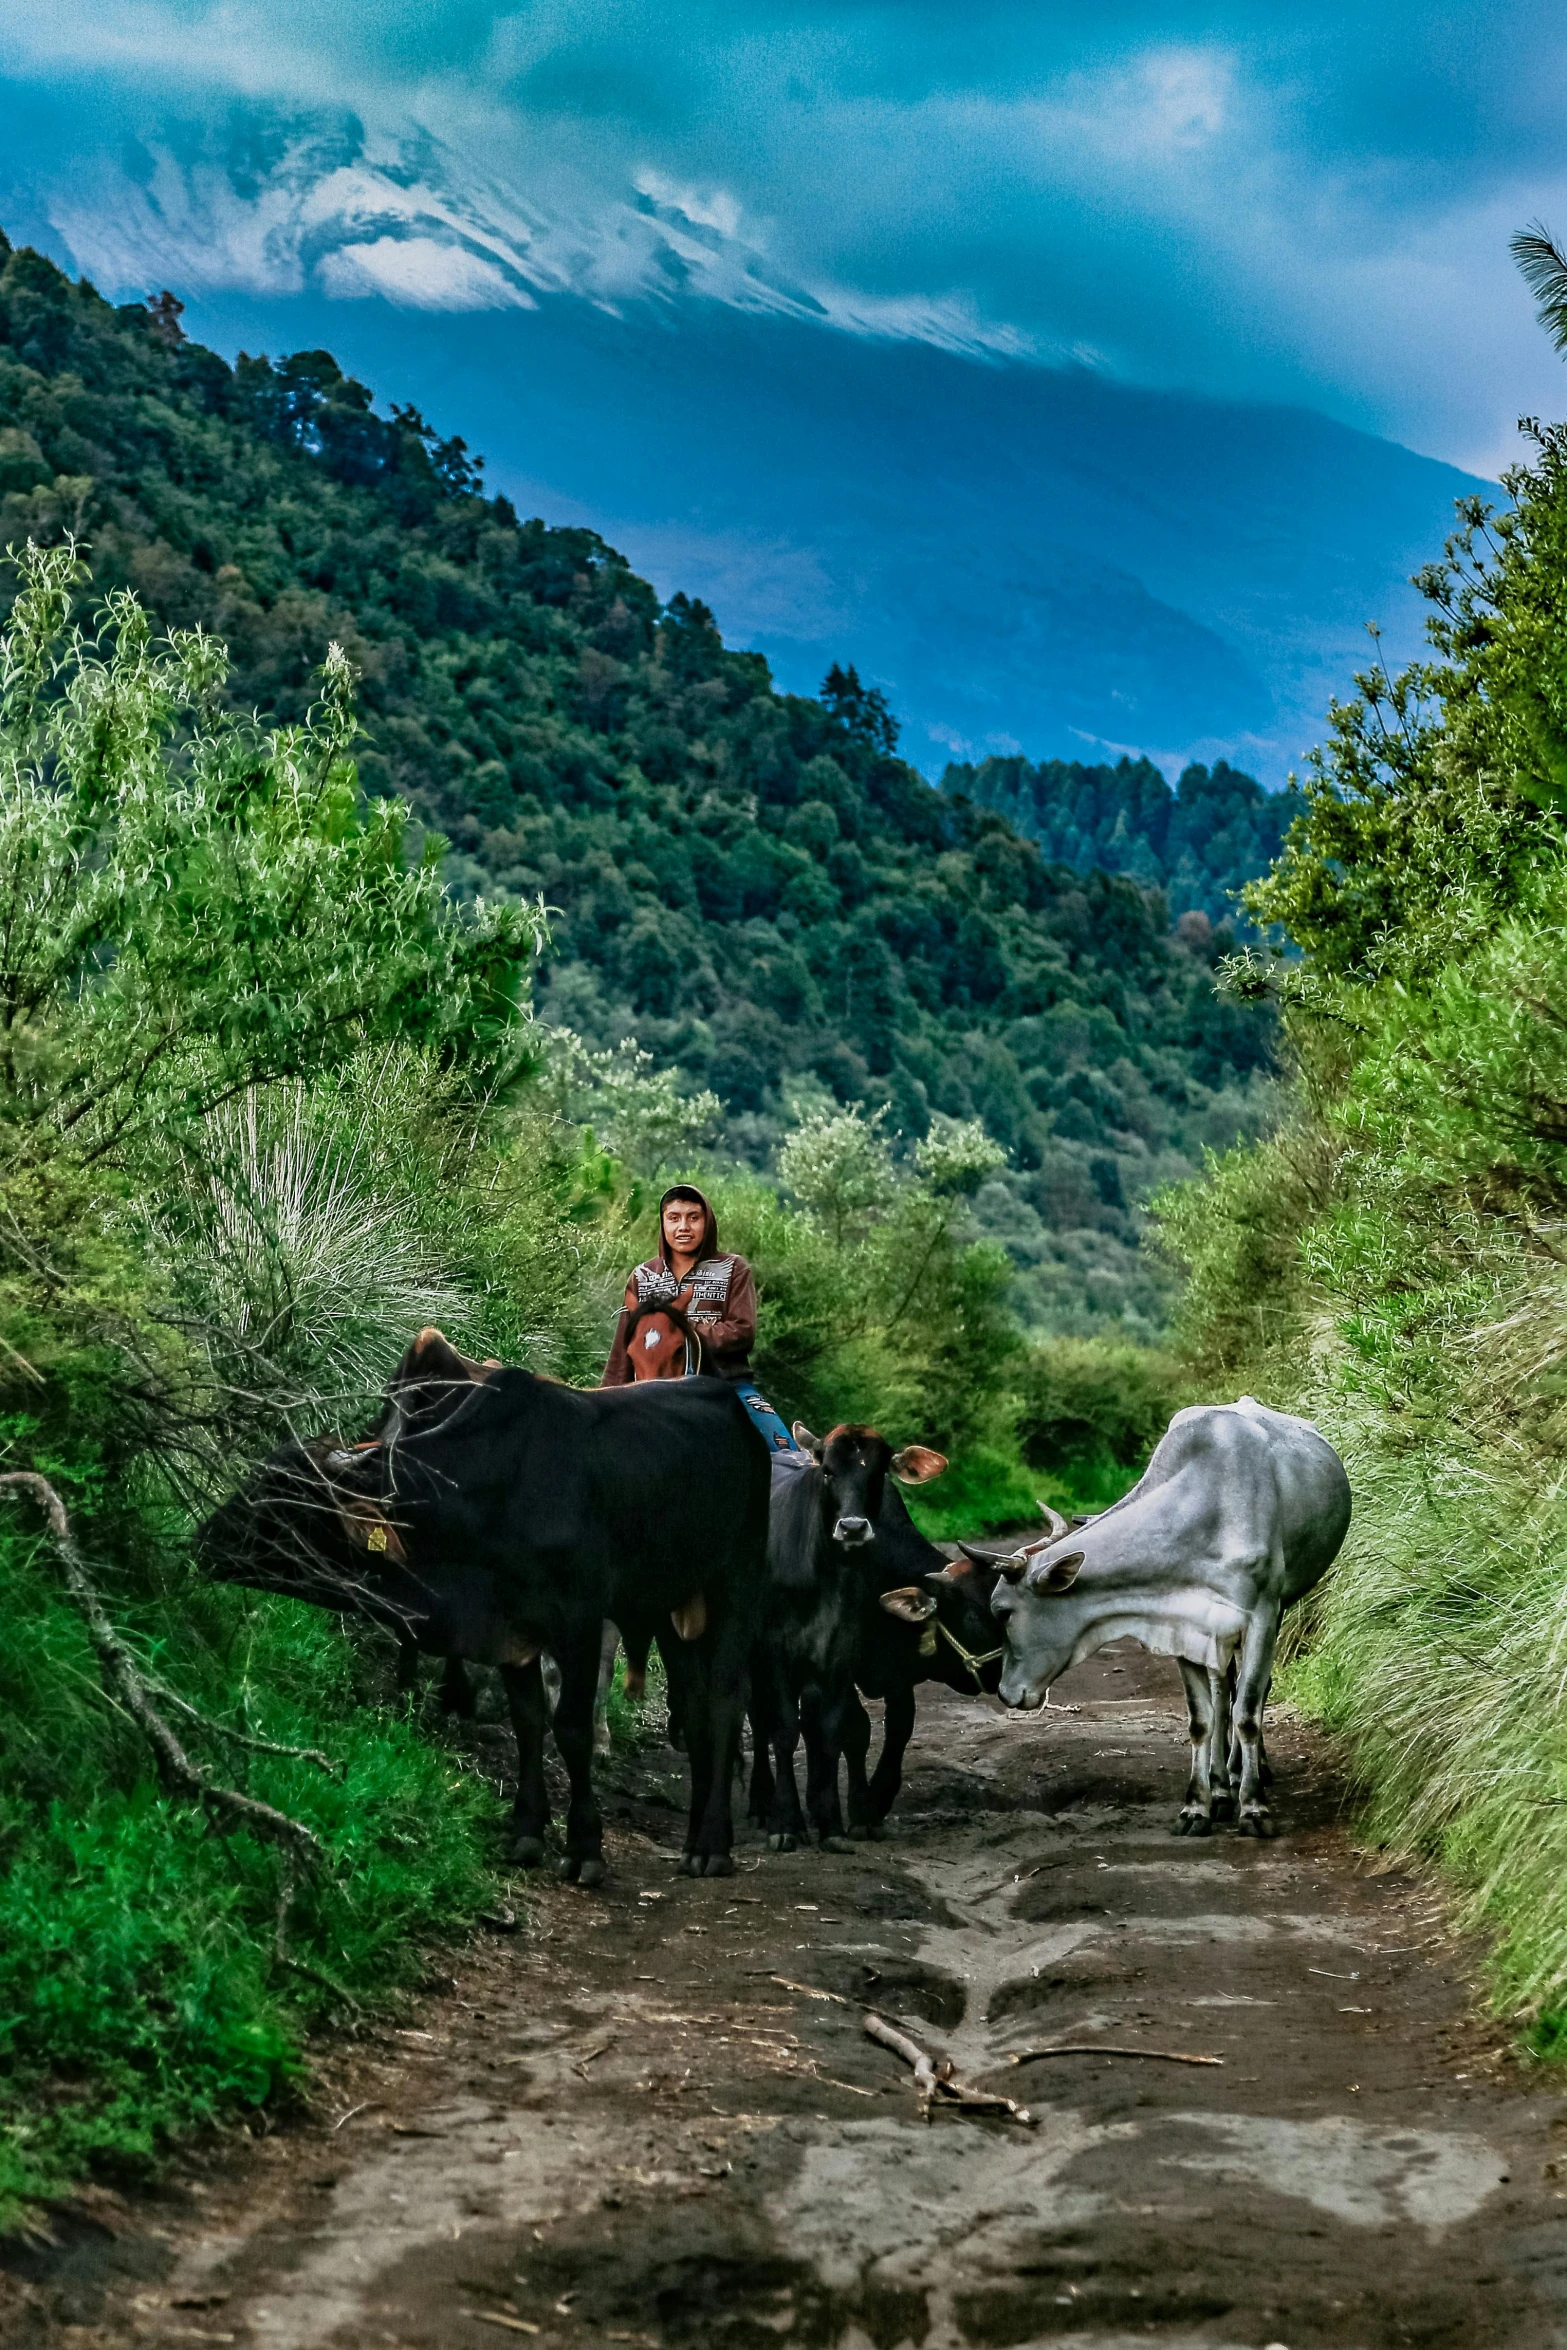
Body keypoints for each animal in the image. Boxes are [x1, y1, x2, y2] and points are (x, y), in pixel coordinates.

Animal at [199, 1334, 775, 1879]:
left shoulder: (579, 1622)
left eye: (289, 1495)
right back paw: (697, 1835)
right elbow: (529, 1723)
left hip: (736, 1583)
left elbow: (571, 1728)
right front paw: (526, 1833)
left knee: (725, 1702)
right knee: (694, 1710)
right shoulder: (512, 1630)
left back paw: (712, 1846)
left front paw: (583, 1848)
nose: (204, 1541)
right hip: (672, 1606)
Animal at [747, 1410, 944, 1851]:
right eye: (828, 1472)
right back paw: (760, 1804)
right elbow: (783, 1731)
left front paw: (832, 1824)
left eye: (878, 1473)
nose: (853, 1528)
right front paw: (786, 1822)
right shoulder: (773, 1653)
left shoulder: (838, 1655)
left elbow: (831, 1730)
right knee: (756, 1717)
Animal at [991, 1391, 1353, 1832]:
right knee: (1222, 1691)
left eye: (1002, 1612)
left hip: (1277, 1609)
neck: (1205, 1507)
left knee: (1248, 1694)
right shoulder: (1183, 1624)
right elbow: (1203, 1718)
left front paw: (1254, 1806)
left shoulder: (1262, 1614)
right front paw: (1197, 1805)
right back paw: (1220, 1784)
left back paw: (1242, 1773)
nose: (1006, 1693)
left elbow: (1248, 1711)